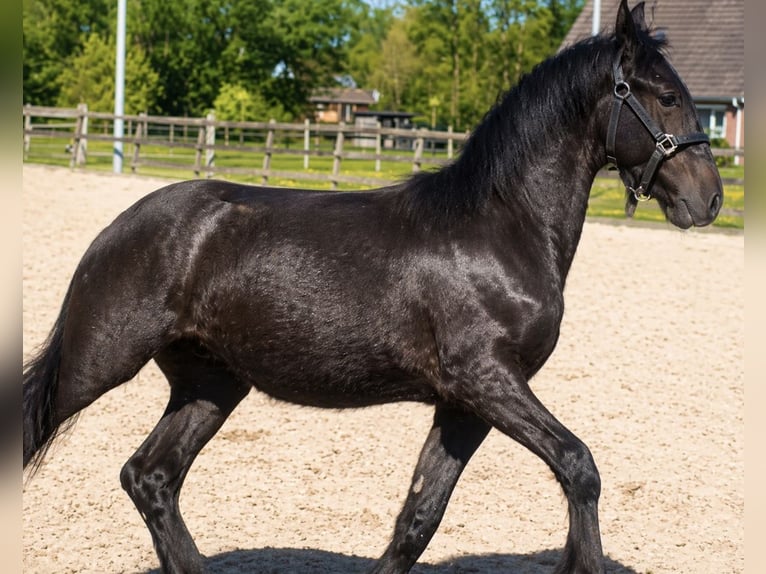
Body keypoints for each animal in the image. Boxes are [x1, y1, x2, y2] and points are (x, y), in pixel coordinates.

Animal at [22, 1, 722, 572]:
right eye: (665, 95)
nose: (709, 199)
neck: (499, 227)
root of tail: (117, 229)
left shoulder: (465, 403)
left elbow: (418, 519)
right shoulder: (488, 380)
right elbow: (579, 467)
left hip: (211, 383)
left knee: (151, 477)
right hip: (98, 364)